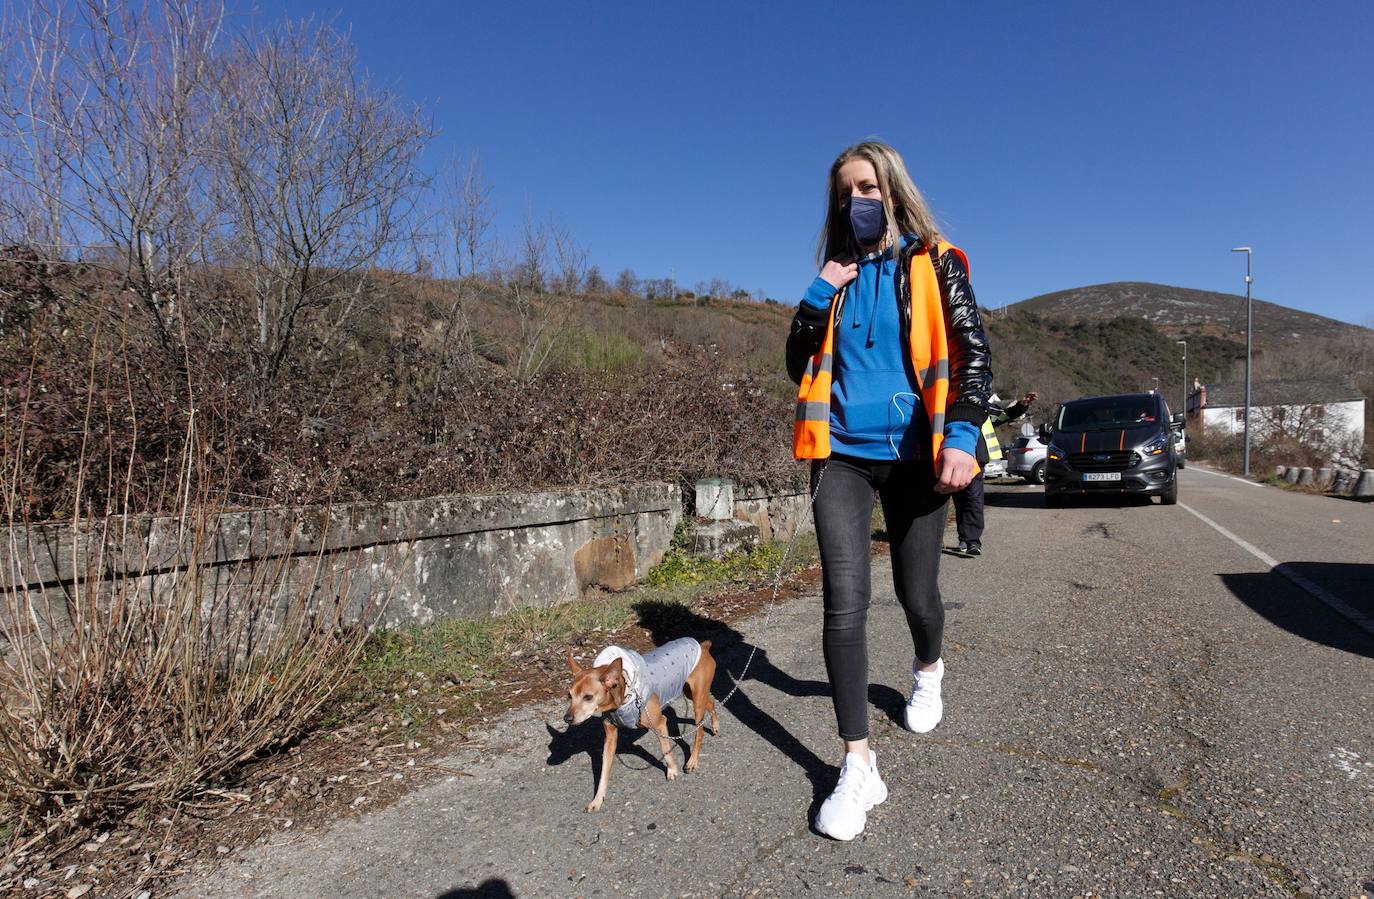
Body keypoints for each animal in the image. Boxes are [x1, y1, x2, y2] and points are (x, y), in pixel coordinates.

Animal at [563, 637, 719, 813]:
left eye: (588, 697)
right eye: (569, 696)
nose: (567, 718)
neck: (624, 696)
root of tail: (702, 645)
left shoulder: (659, 723)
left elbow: (665, 750)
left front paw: (672, 770)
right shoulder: (610, 738)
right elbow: (603, 772)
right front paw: (597, 800)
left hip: (697, 700)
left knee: (700, 731)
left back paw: (692, 761)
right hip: (690, 693)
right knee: (711, 703)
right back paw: (715, 725)